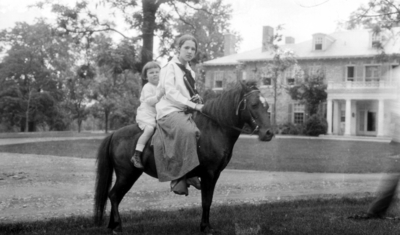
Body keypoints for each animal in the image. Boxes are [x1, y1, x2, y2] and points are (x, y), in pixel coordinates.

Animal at [94, 80, 276, 233]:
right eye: (254, 104)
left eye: (267, 106)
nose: (268, 133)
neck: (215, 128)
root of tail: (114, 134)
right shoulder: (209, 173)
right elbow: (206, 200)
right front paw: (205, 227)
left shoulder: (215, 174)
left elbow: (209, 199)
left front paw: (207, 225)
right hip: (127, 175)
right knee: (114, 196)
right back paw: (117, 226)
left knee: (115, 196)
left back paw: (112, 225)